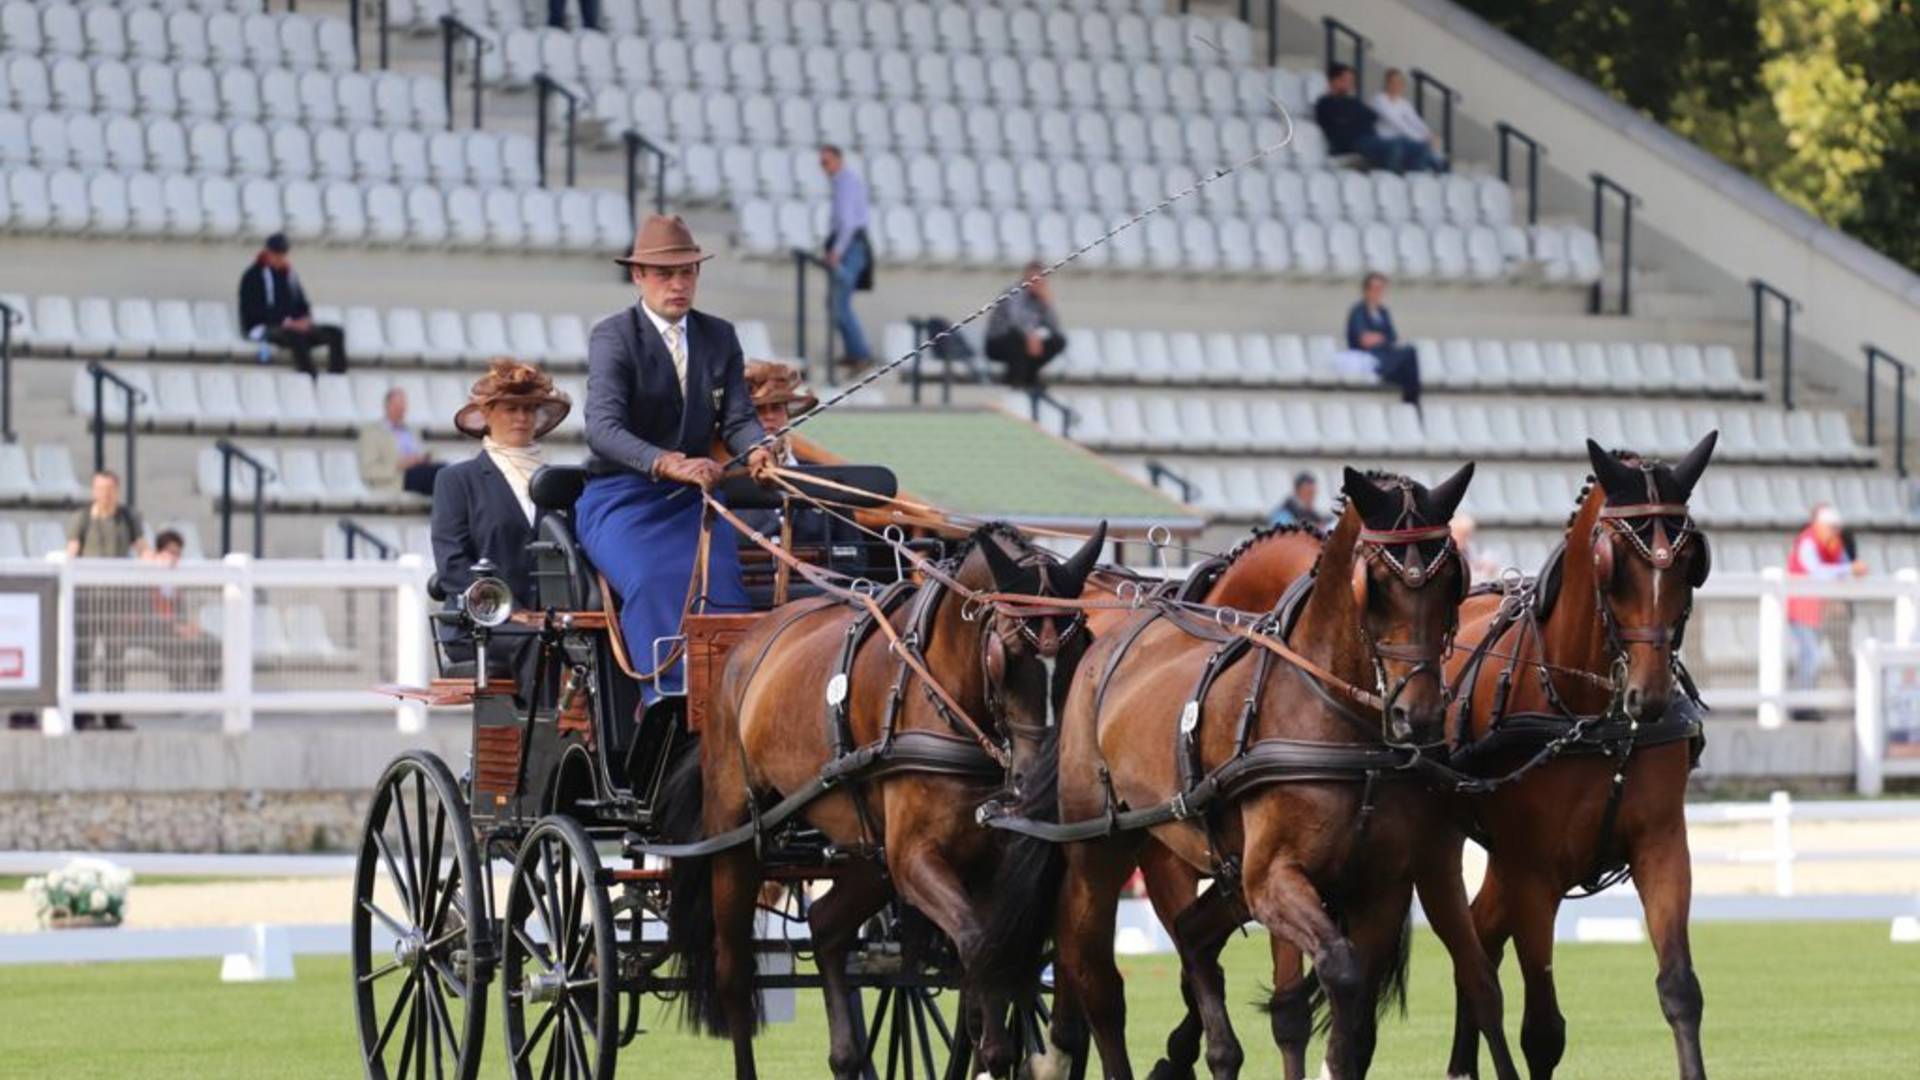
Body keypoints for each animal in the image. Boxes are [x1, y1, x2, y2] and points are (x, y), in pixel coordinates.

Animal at [664, 518, 1105, 1068]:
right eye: (1007, 653)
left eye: (1080, 646)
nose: (1034, 780)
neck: (942, 693)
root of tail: (752, 641)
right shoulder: (914, 855)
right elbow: (978, 939)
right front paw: (995, 1049)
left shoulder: (986, 860)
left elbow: (997, 947)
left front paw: (990, 1043)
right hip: (736, 836)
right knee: (733, 973)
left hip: (868, 853)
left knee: (827, 925)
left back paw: (846, 1056)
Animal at [1044, 468, 1505, 1076]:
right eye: (1376, 584)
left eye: (1453, 580)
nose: (1421, 716)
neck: (1344, 721)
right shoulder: (1272, 879)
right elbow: (1335, 974)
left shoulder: (1381, 885)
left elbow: (1352, 1027)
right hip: (1100, 849)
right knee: (1096, 978)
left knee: (1190, 938)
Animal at [1443, 432, 1720, 1068]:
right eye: (1610, 563)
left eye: (1692, 562)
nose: (1649, 695)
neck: (1596, 718)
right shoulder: (1533, 873)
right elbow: (1543, 1030)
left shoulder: (1662, 845)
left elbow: (1680, 990)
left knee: (1478, 941)